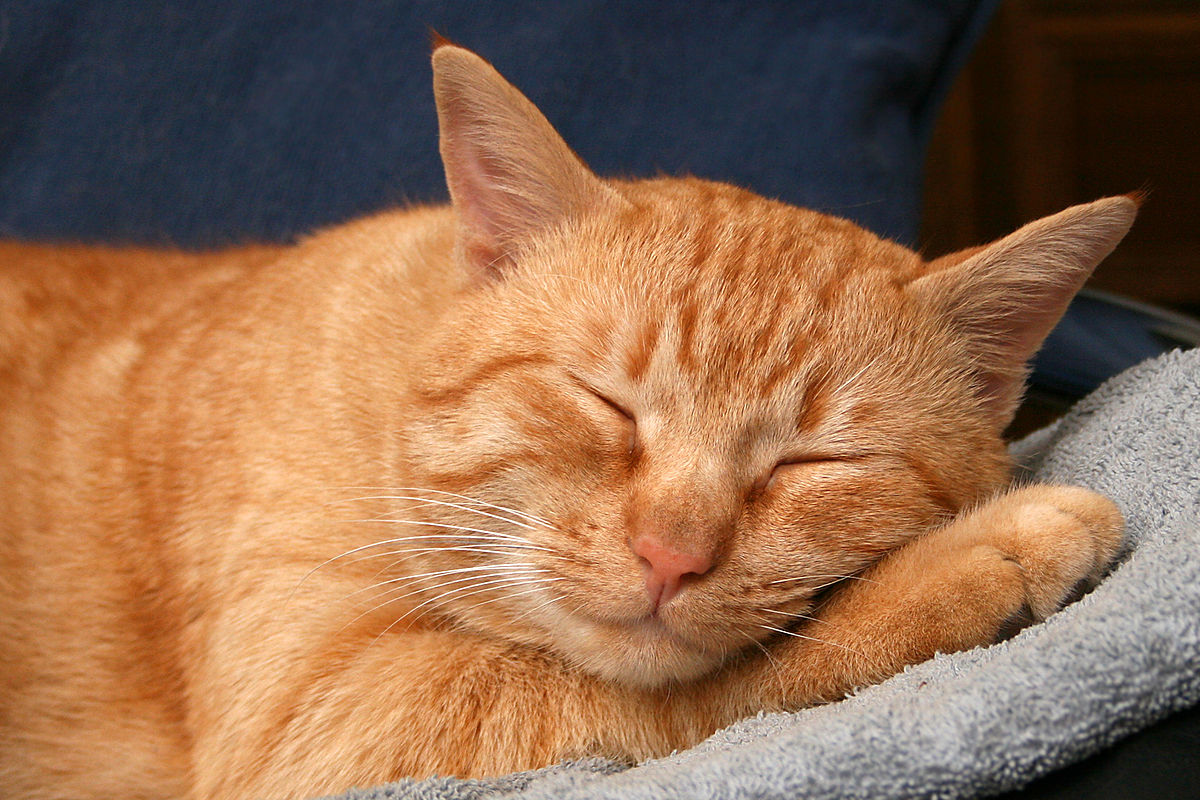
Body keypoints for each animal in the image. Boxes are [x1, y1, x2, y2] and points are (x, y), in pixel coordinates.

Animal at [0, 42, 1132, 800]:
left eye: (817, 460)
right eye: (607, 401)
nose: (672, 555)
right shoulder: (319, 723)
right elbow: (723, 683)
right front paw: (967, 560)